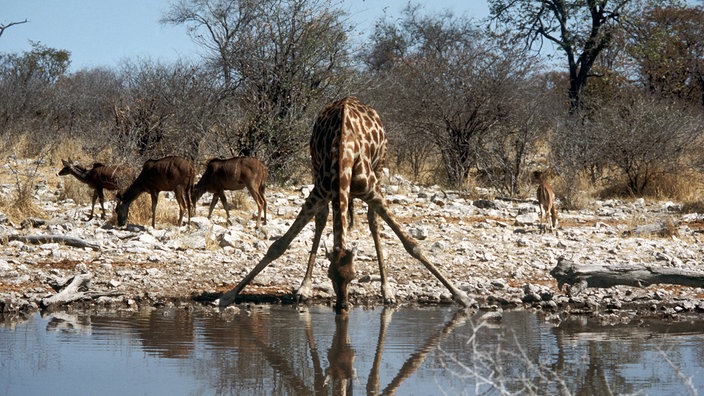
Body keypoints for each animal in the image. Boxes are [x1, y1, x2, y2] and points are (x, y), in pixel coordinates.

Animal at [217, 96, 476, 312]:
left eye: (353, 276)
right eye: (330, 276)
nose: (342, 307)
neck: (344, 152)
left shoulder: (373, 191)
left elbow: (413, 246)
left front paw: (463, 297)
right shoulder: (319, 192)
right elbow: (278, 246)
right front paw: (228, 296)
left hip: (380, 169)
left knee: (373, 223)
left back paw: (387, 291)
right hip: (316, 173)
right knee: (322, 220)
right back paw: (304, 288)